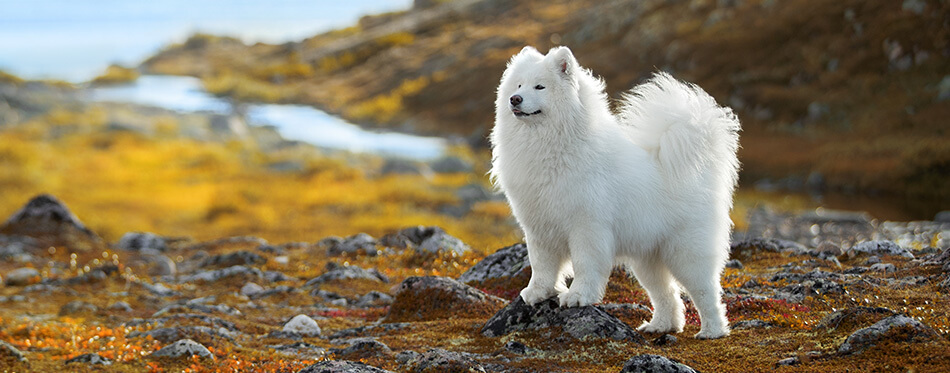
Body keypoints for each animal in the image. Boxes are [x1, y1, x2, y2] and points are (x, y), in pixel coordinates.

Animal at [490, 45, 744, 338]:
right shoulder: (539, 227)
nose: (515, 99)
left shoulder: (587, 227)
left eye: (540, 86)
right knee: (666, 294)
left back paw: (712, 331)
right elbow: (541, 265)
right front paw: (537, 293)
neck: (552, 144)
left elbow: (584, 265)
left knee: (706, 292)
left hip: (686, 252)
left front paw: (578, 296)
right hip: (648, 259)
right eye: (518, 85)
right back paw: (660, 326)